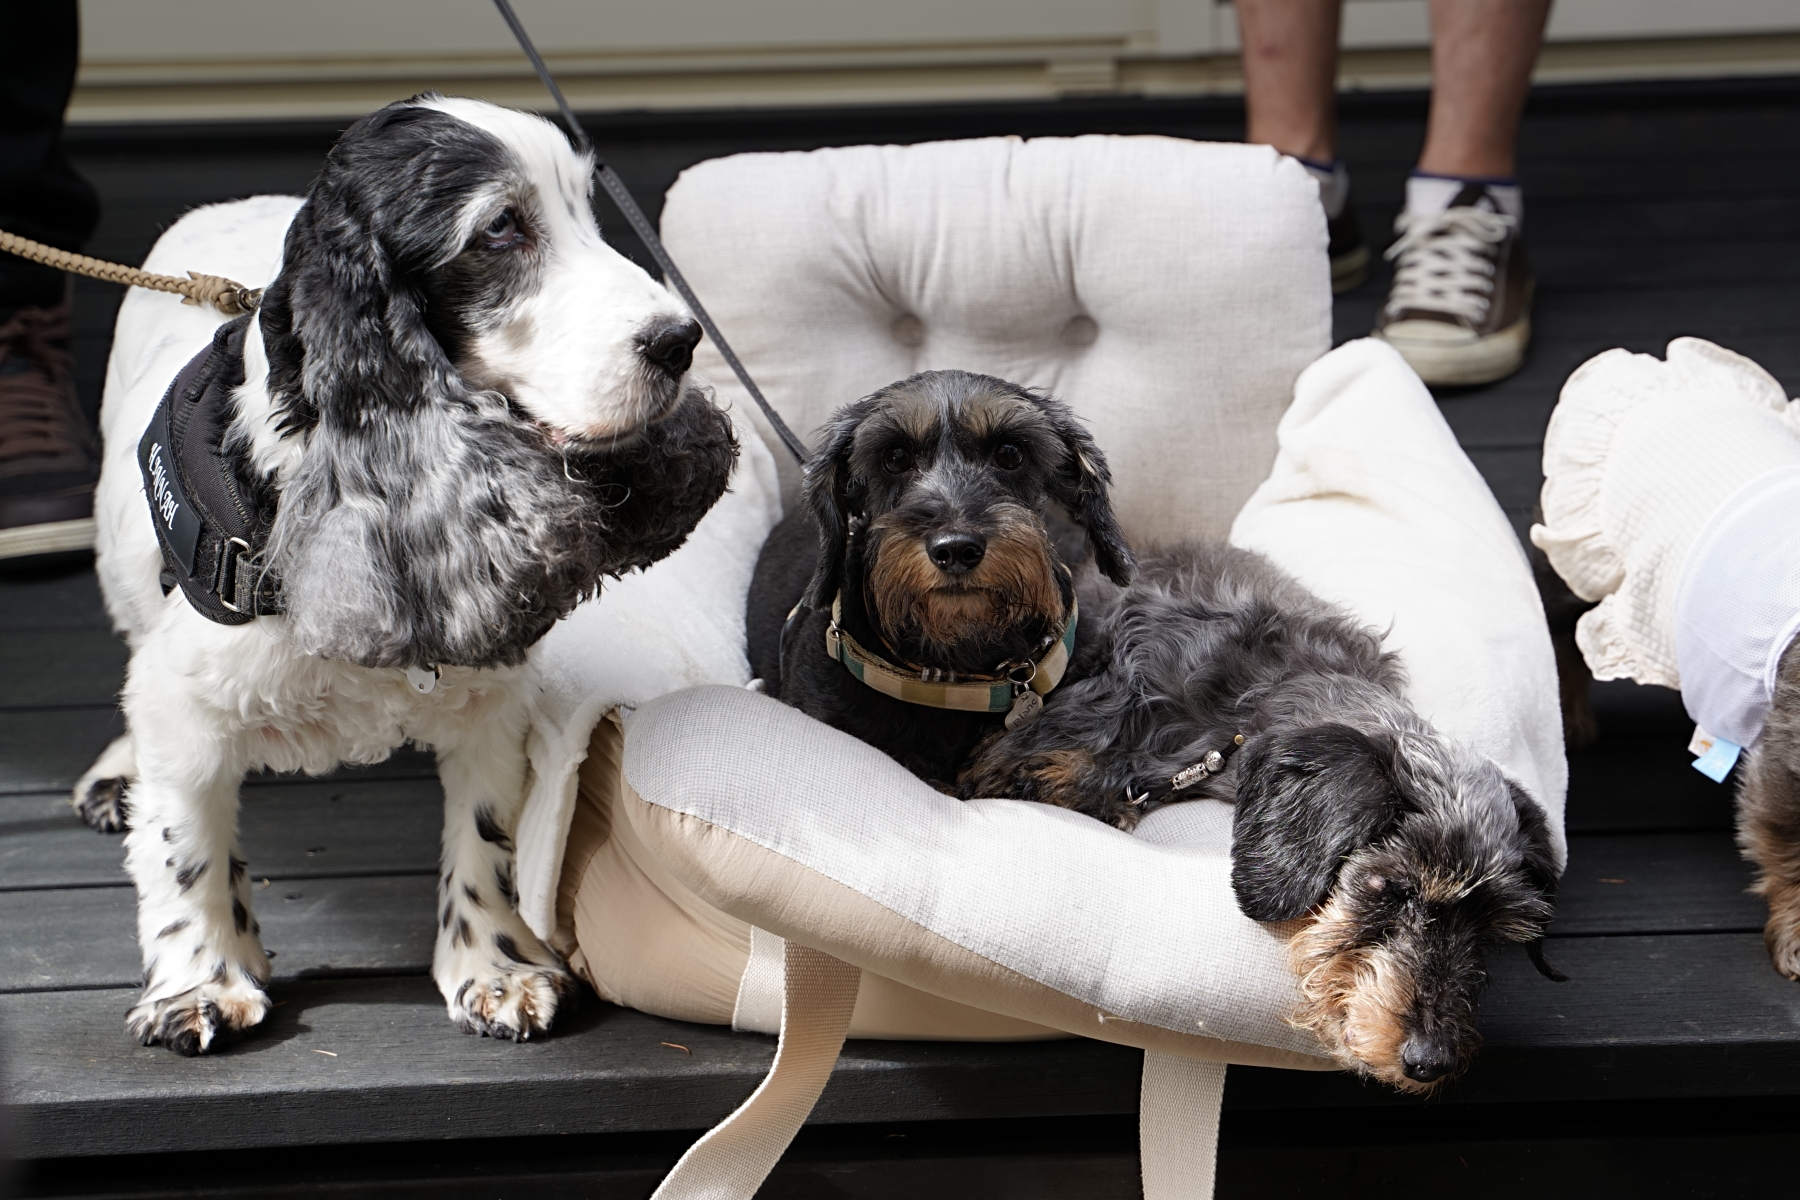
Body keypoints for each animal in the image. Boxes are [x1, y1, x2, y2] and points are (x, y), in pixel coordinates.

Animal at [73, 94, 736, 1054]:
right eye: (502, 228)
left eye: (587, 209)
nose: (682, 340)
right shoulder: (186, 706)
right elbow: (184, 842)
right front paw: (200, 983)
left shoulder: (492, 703)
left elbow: (486, 839)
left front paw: (497, 969)